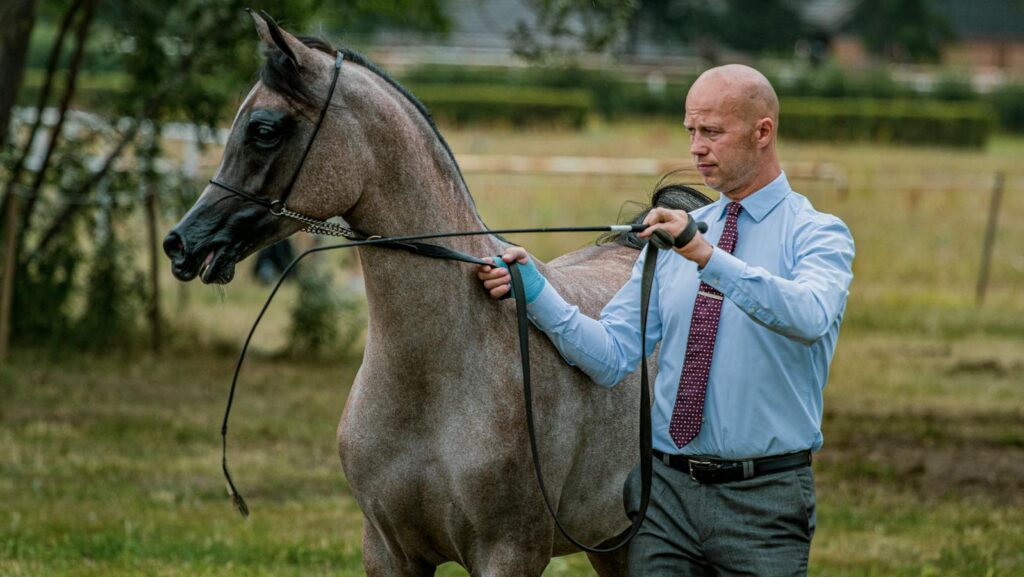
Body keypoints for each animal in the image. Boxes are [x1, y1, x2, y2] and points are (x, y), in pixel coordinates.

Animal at [164, 11, 709, 576]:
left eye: (264, 130)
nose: (182, 243)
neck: (436, 378)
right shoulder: (388, 552)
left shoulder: (510, 553)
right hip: (614, 542)